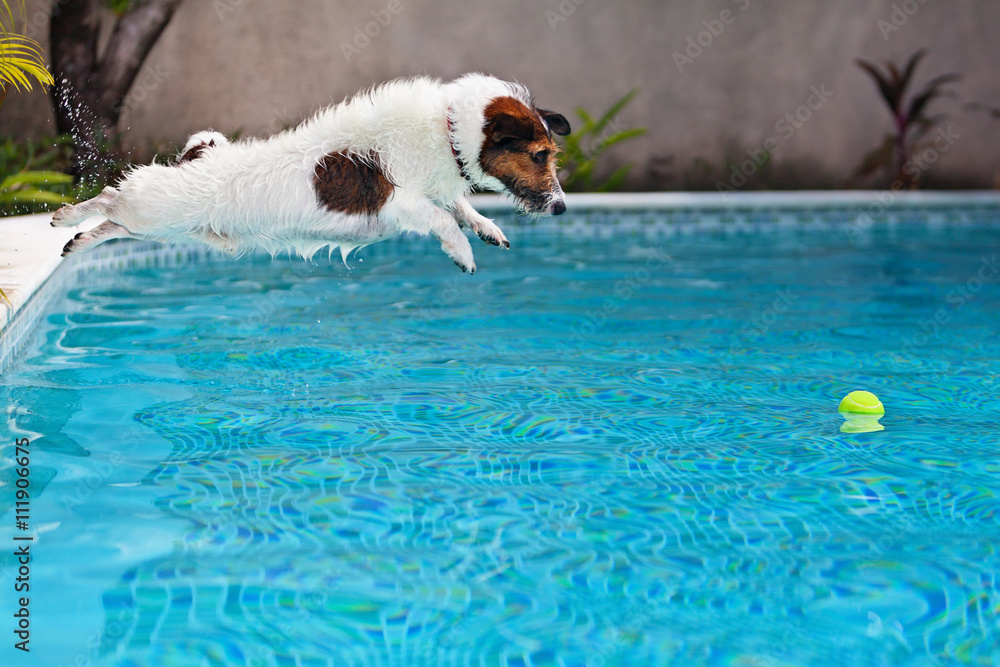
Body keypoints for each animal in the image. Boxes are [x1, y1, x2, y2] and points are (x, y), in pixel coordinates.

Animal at [52, 72, 572, 272]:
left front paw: (486, 228)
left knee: (113, 225)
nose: (563, 208)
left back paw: (78, 240)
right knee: (110, 199)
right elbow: (443, 217)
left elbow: (460, 206)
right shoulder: (400, 200)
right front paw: (462, 251)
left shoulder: (436, 189)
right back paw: (66, 216)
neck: (447, 129)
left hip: (168, 229)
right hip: (154, 208)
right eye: (539, 155)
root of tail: (196, 157)